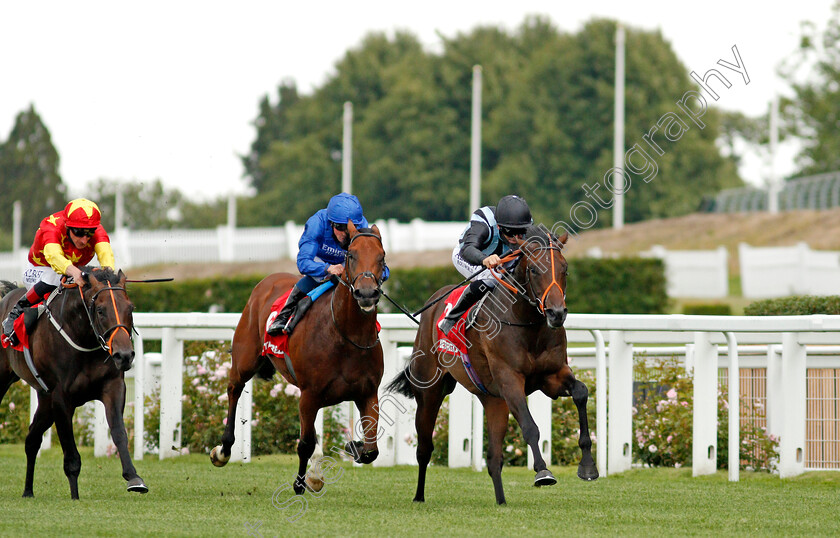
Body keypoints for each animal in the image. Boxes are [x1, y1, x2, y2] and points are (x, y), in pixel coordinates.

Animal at [0, 268, 146, 498]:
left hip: (45, 399)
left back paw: (28, 491)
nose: (124, 355)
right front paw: (75, 496)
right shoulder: (61, 398)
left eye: (130, 308)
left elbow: (119, 432)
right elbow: (70, 453)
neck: (83, 337)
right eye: (101, 310)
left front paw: (134, 477)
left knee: (32, 439)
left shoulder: (113, 387)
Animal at [388, 226, 596, 502]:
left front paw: (588, 466)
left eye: (565, 268)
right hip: (429, 391)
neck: (527, 324)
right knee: (424, 447)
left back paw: (501, 501)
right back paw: (419, 496)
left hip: (493, 399)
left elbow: (581, 392)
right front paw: (543, 472)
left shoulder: (552, 376)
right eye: (534, 270)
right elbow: (530, 427)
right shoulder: (509, 380)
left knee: (494, 459)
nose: (556, 313)